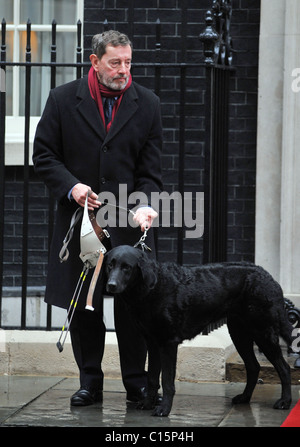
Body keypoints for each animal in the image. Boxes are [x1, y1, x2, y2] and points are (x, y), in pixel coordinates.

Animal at [104, 245, 292, 416]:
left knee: (284, 368)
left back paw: (285, 402)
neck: (152, 288)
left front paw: (164, 409)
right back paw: (244, 398)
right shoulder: (152, 342)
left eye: (126, 267)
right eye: (110, 265)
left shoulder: (168, 342)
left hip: (263, 332)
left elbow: (167, 381)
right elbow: (151, 378)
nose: (110, 285)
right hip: (239, 334)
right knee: (253, 367)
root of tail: (268, 276)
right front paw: (148, 403)